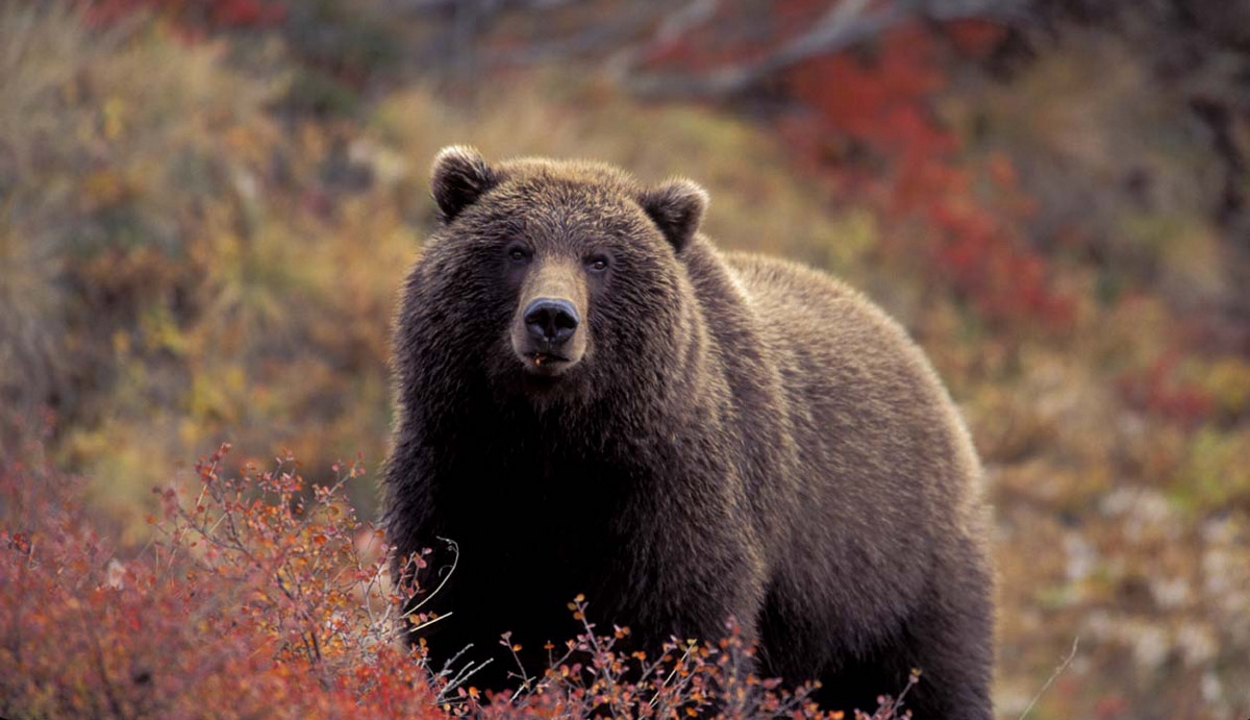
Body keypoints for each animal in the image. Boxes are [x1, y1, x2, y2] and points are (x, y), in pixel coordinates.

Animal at [382, 147, 995, 720]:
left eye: (599, 259)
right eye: (516, 249)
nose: (552, 318)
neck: (556, 445)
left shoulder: (673, 496)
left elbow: (679, 640)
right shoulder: (459, 472)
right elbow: (464, 628)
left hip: (899, 569)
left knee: (932, 680)